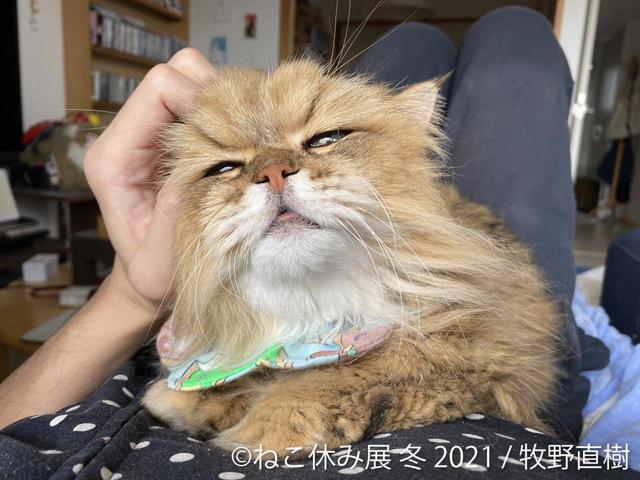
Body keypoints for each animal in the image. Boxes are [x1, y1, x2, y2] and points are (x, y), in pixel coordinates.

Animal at [142, 59, 561, 455]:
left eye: (324, 139)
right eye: (225, 167)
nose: (274, 171)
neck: (318, 313)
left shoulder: (478, 357)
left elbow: (332, 379)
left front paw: (265, 429)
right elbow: (242, 379)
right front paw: (192, 402)